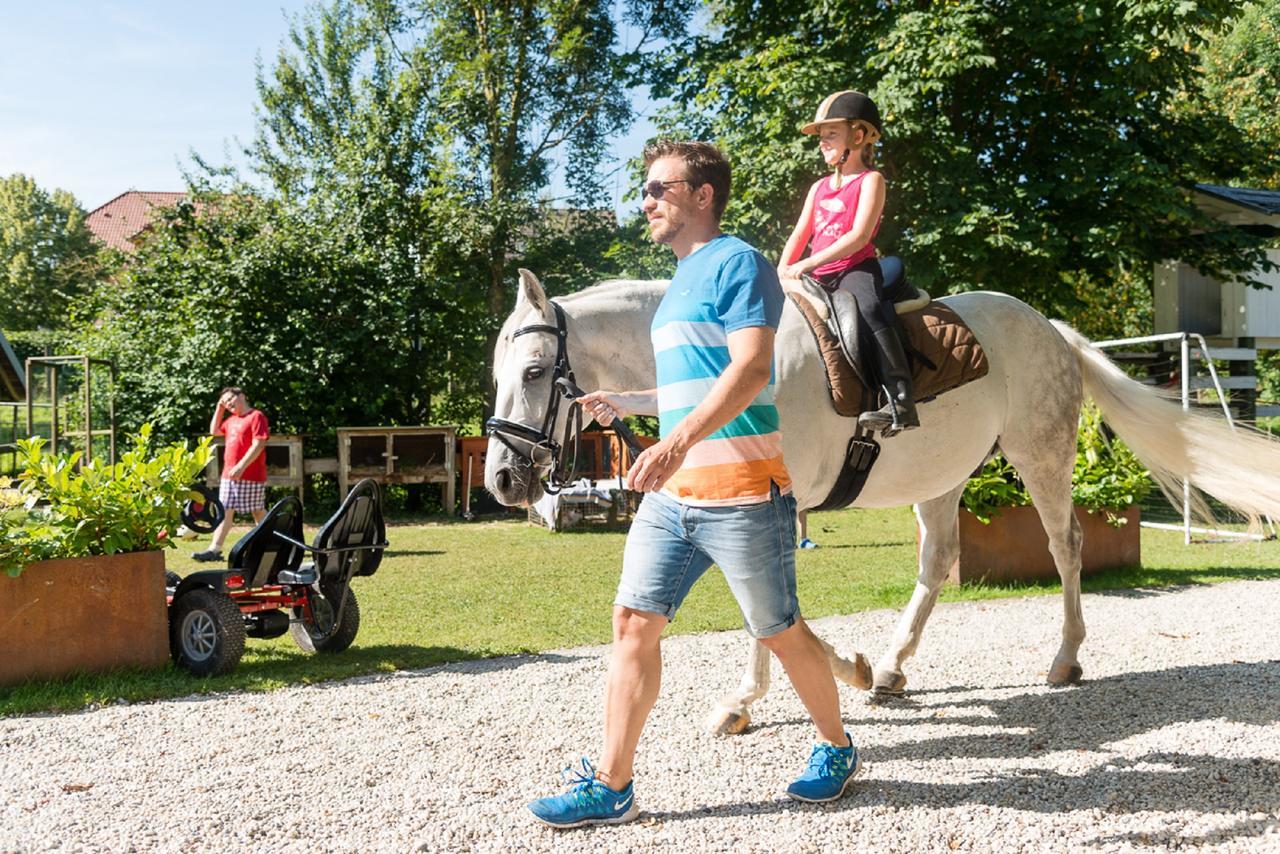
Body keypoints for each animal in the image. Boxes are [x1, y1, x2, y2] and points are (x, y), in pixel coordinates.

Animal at [483, 268, 1280, 737]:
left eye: (534, 371)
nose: (502, 481)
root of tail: (1049, 328)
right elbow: (767, 606)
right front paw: (850, 672)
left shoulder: (770, 502)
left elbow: (763, 607)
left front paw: (756, 696)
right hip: (943, 478)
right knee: (938, 560)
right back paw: (893, 668)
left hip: (1043, 456)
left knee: (1066, 547)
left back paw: (1063, 659)